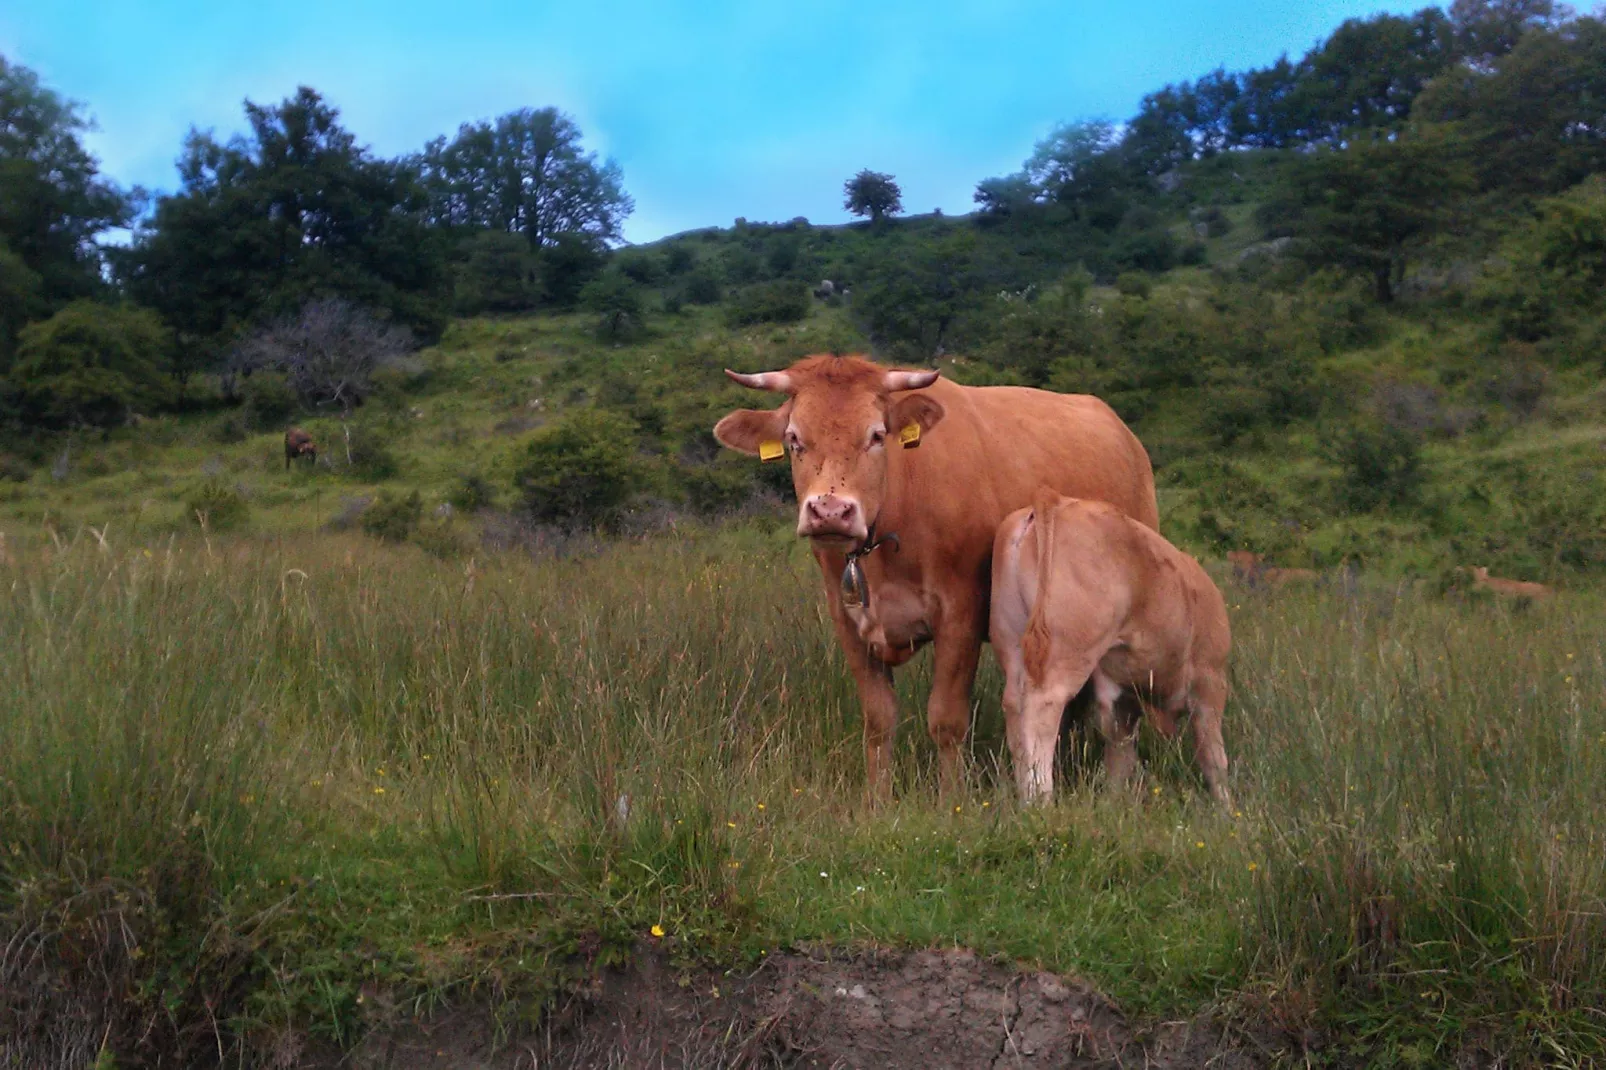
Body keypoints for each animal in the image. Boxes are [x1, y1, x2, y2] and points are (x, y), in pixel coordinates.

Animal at [982, 488, 1233, 800]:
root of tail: (1054, 500)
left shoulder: (1124, 700)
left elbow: (1120, 758)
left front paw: (1113, 802)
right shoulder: (1210, 682)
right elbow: (1214, 759)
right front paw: (1226, 807)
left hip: (1012, 640)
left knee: (1015, 707)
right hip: (1067, 653)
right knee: (1042, 709)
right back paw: (1040, 798)